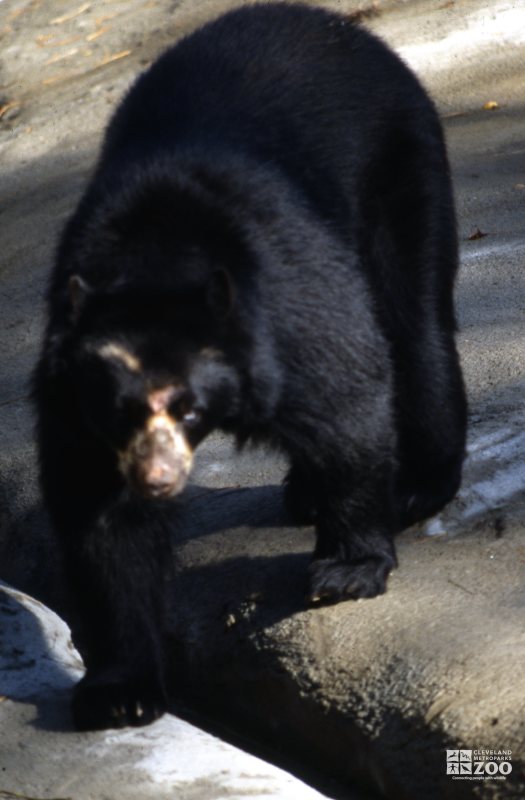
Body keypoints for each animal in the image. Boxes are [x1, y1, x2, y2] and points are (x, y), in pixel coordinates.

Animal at [33, 3, 466, 732]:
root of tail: (338, 25)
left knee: (414, 326)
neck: (154, 257)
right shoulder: (69, 393)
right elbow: (101, 522)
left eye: (187, 408)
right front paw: (119, 692)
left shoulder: (289, 298)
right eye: (120, 413)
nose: (156, 479)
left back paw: (416, 484)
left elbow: (345, 397)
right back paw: (304, 493)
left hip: (401, 167)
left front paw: (345, 571)